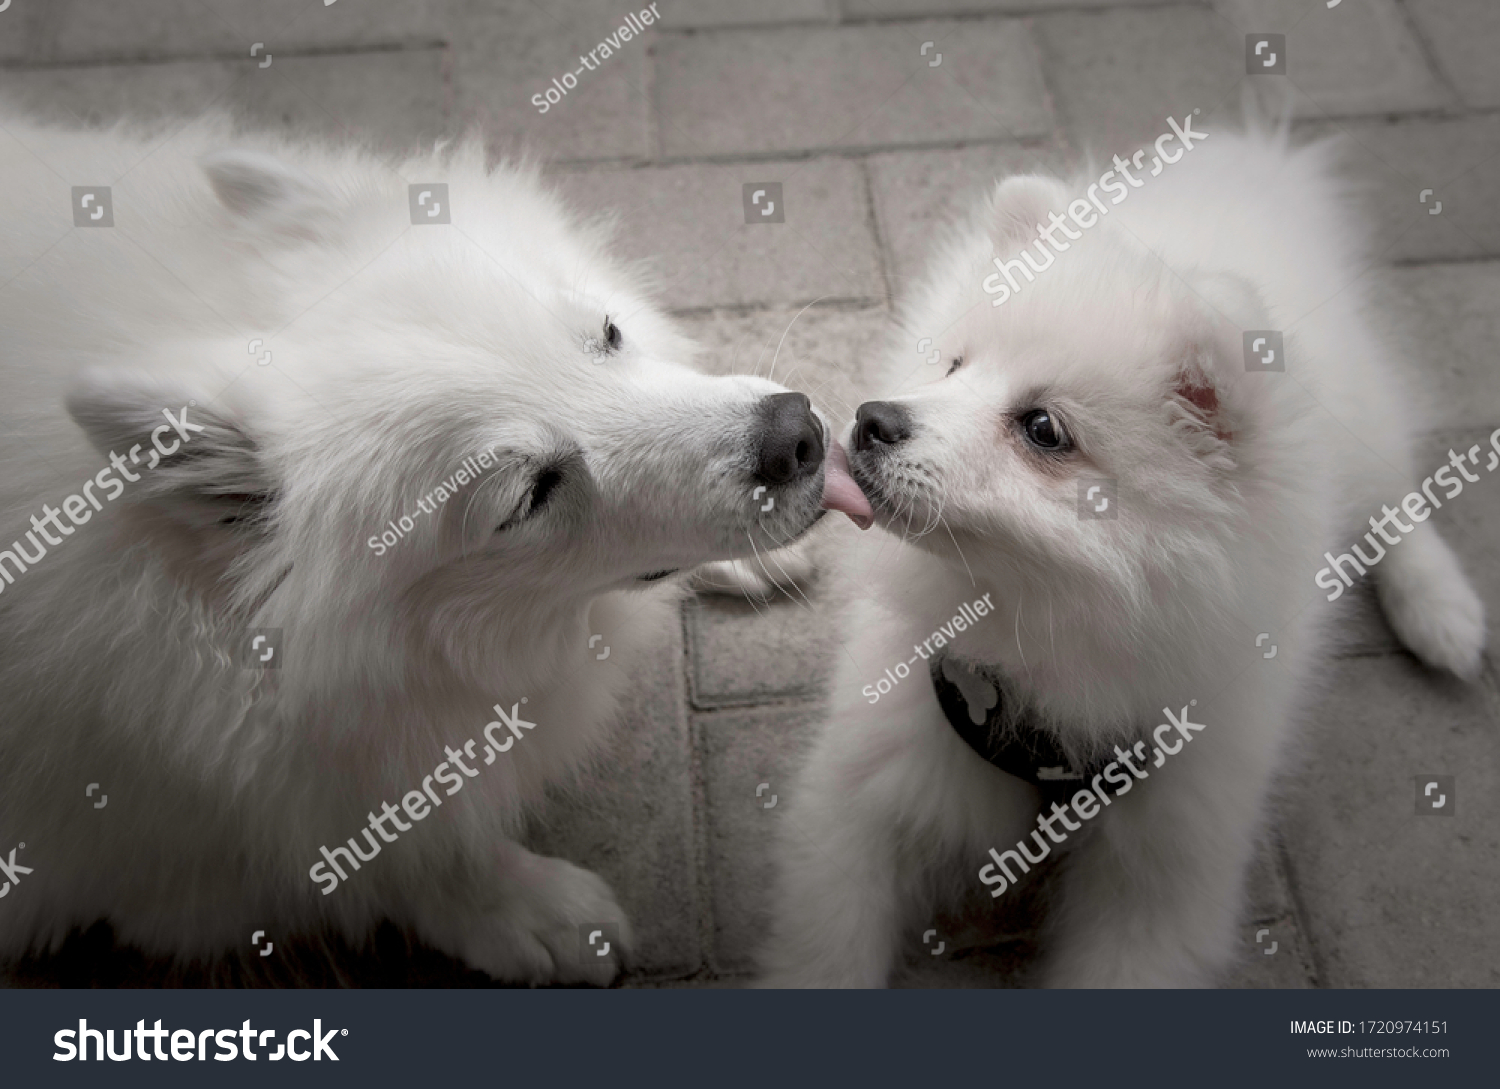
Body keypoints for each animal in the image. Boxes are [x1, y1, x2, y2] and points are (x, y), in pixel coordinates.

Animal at [0, 115, 870, 984]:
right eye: (530, 493)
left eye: (607, 333)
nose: (796, 435)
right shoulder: (190, 820)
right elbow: (396, 844)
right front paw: (527, 911)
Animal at [762, 123, 1488, 996]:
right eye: (955, 366)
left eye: (1043, 429)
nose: (872, 419)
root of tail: (1251, 166)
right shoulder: (865, 791)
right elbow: (824, 946)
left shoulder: (1168, 863)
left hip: (1362, 421)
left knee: (1396, 496)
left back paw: (1443, 613)